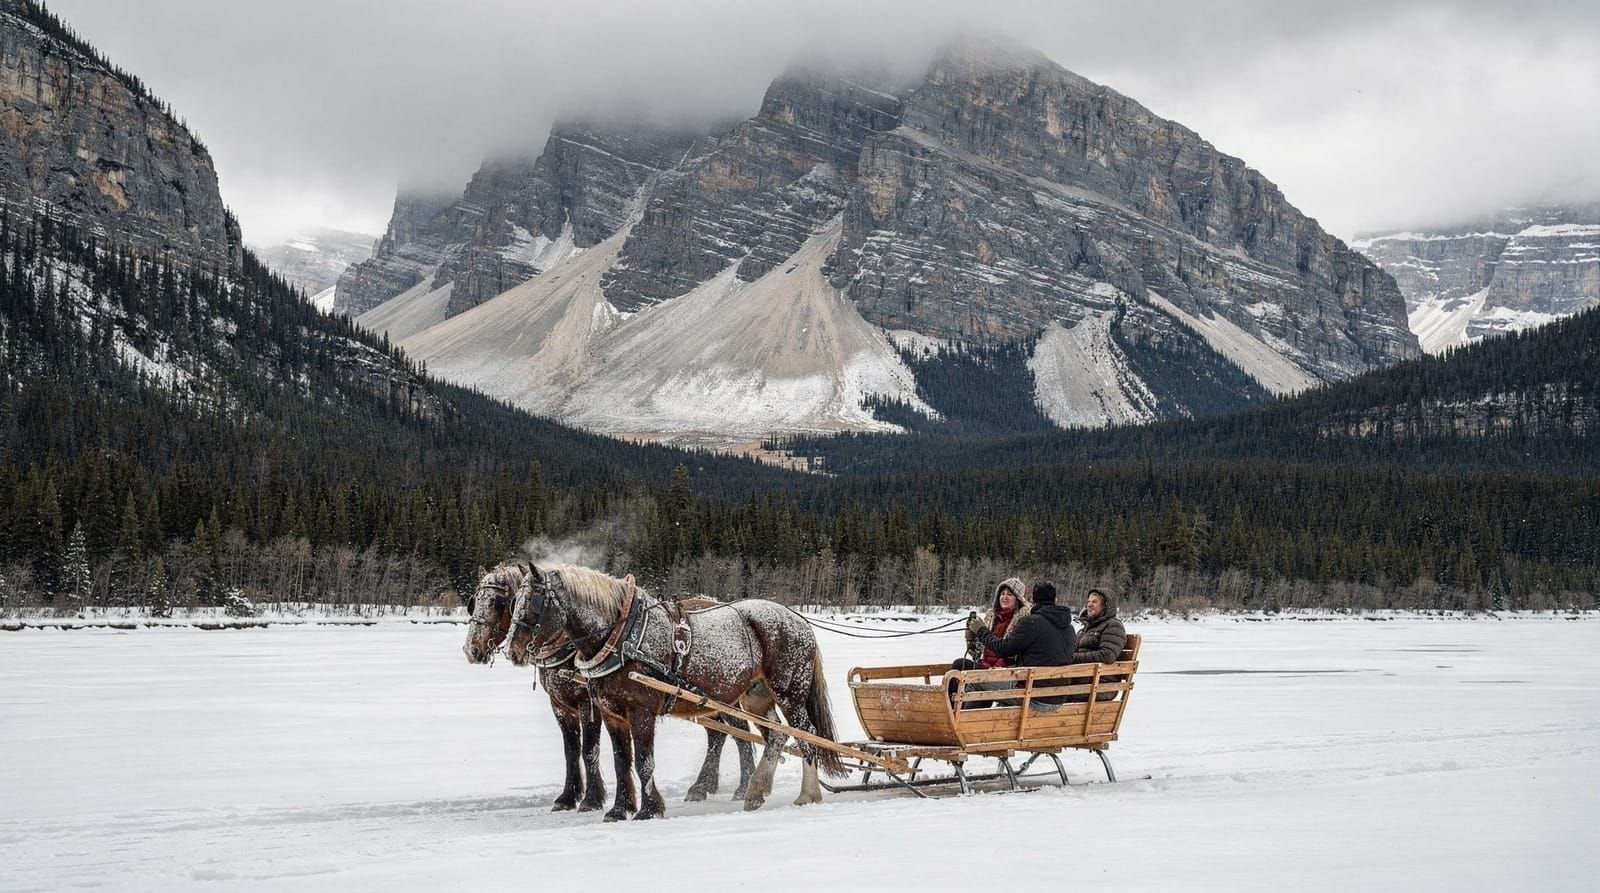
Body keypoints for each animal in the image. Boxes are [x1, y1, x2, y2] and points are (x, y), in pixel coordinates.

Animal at [462, 562, 756, 816]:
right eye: (474, 602)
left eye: (500, 603)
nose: (471, 650)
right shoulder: (561, 706)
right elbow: (571, 752)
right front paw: (568, 797)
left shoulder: (588, 704)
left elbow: (588, 751)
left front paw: (591, 799)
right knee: (719, 734)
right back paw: (706, 786)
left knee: (738, 732)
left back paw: (743, 785)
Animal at [509, 563, 847, 819]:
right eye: (514, 602)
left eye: (533, 603)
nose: (513, 650)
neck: (620, 634)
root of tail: (798, 618)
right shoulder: (610, 712)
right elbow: (621, 761)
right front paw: (619, 809)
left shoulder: (640, 710)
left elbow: (644, 760)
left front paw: (649, 809)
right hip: (755, 696)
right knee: (776, 736)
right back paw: (755, 790)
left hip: (790, 692)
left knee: (807, 737)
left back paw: (807, 795)